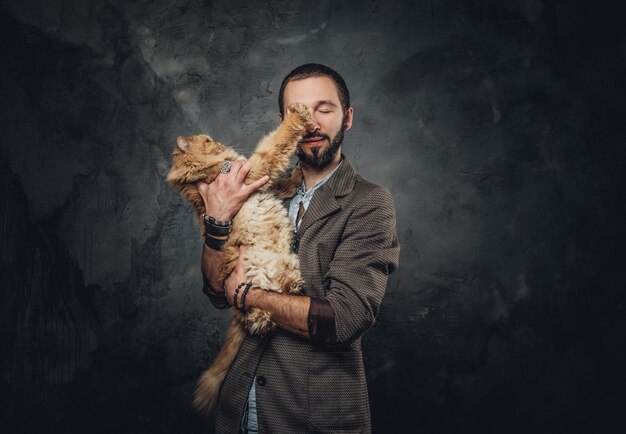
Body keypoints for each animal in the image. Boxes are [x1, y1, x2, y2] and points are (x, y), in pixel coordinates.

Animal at [166, 102, 312, 414]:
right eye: (208, 141)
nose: (220, 142)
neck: (201, 174)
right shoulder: (255, 169)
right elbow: (278, 142)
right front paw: (299, 114)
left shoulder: (261, 178)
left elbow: (282, 180)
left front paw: (297, 175)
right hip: (261, 277)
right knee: (262, 314)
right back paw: (290, 288)